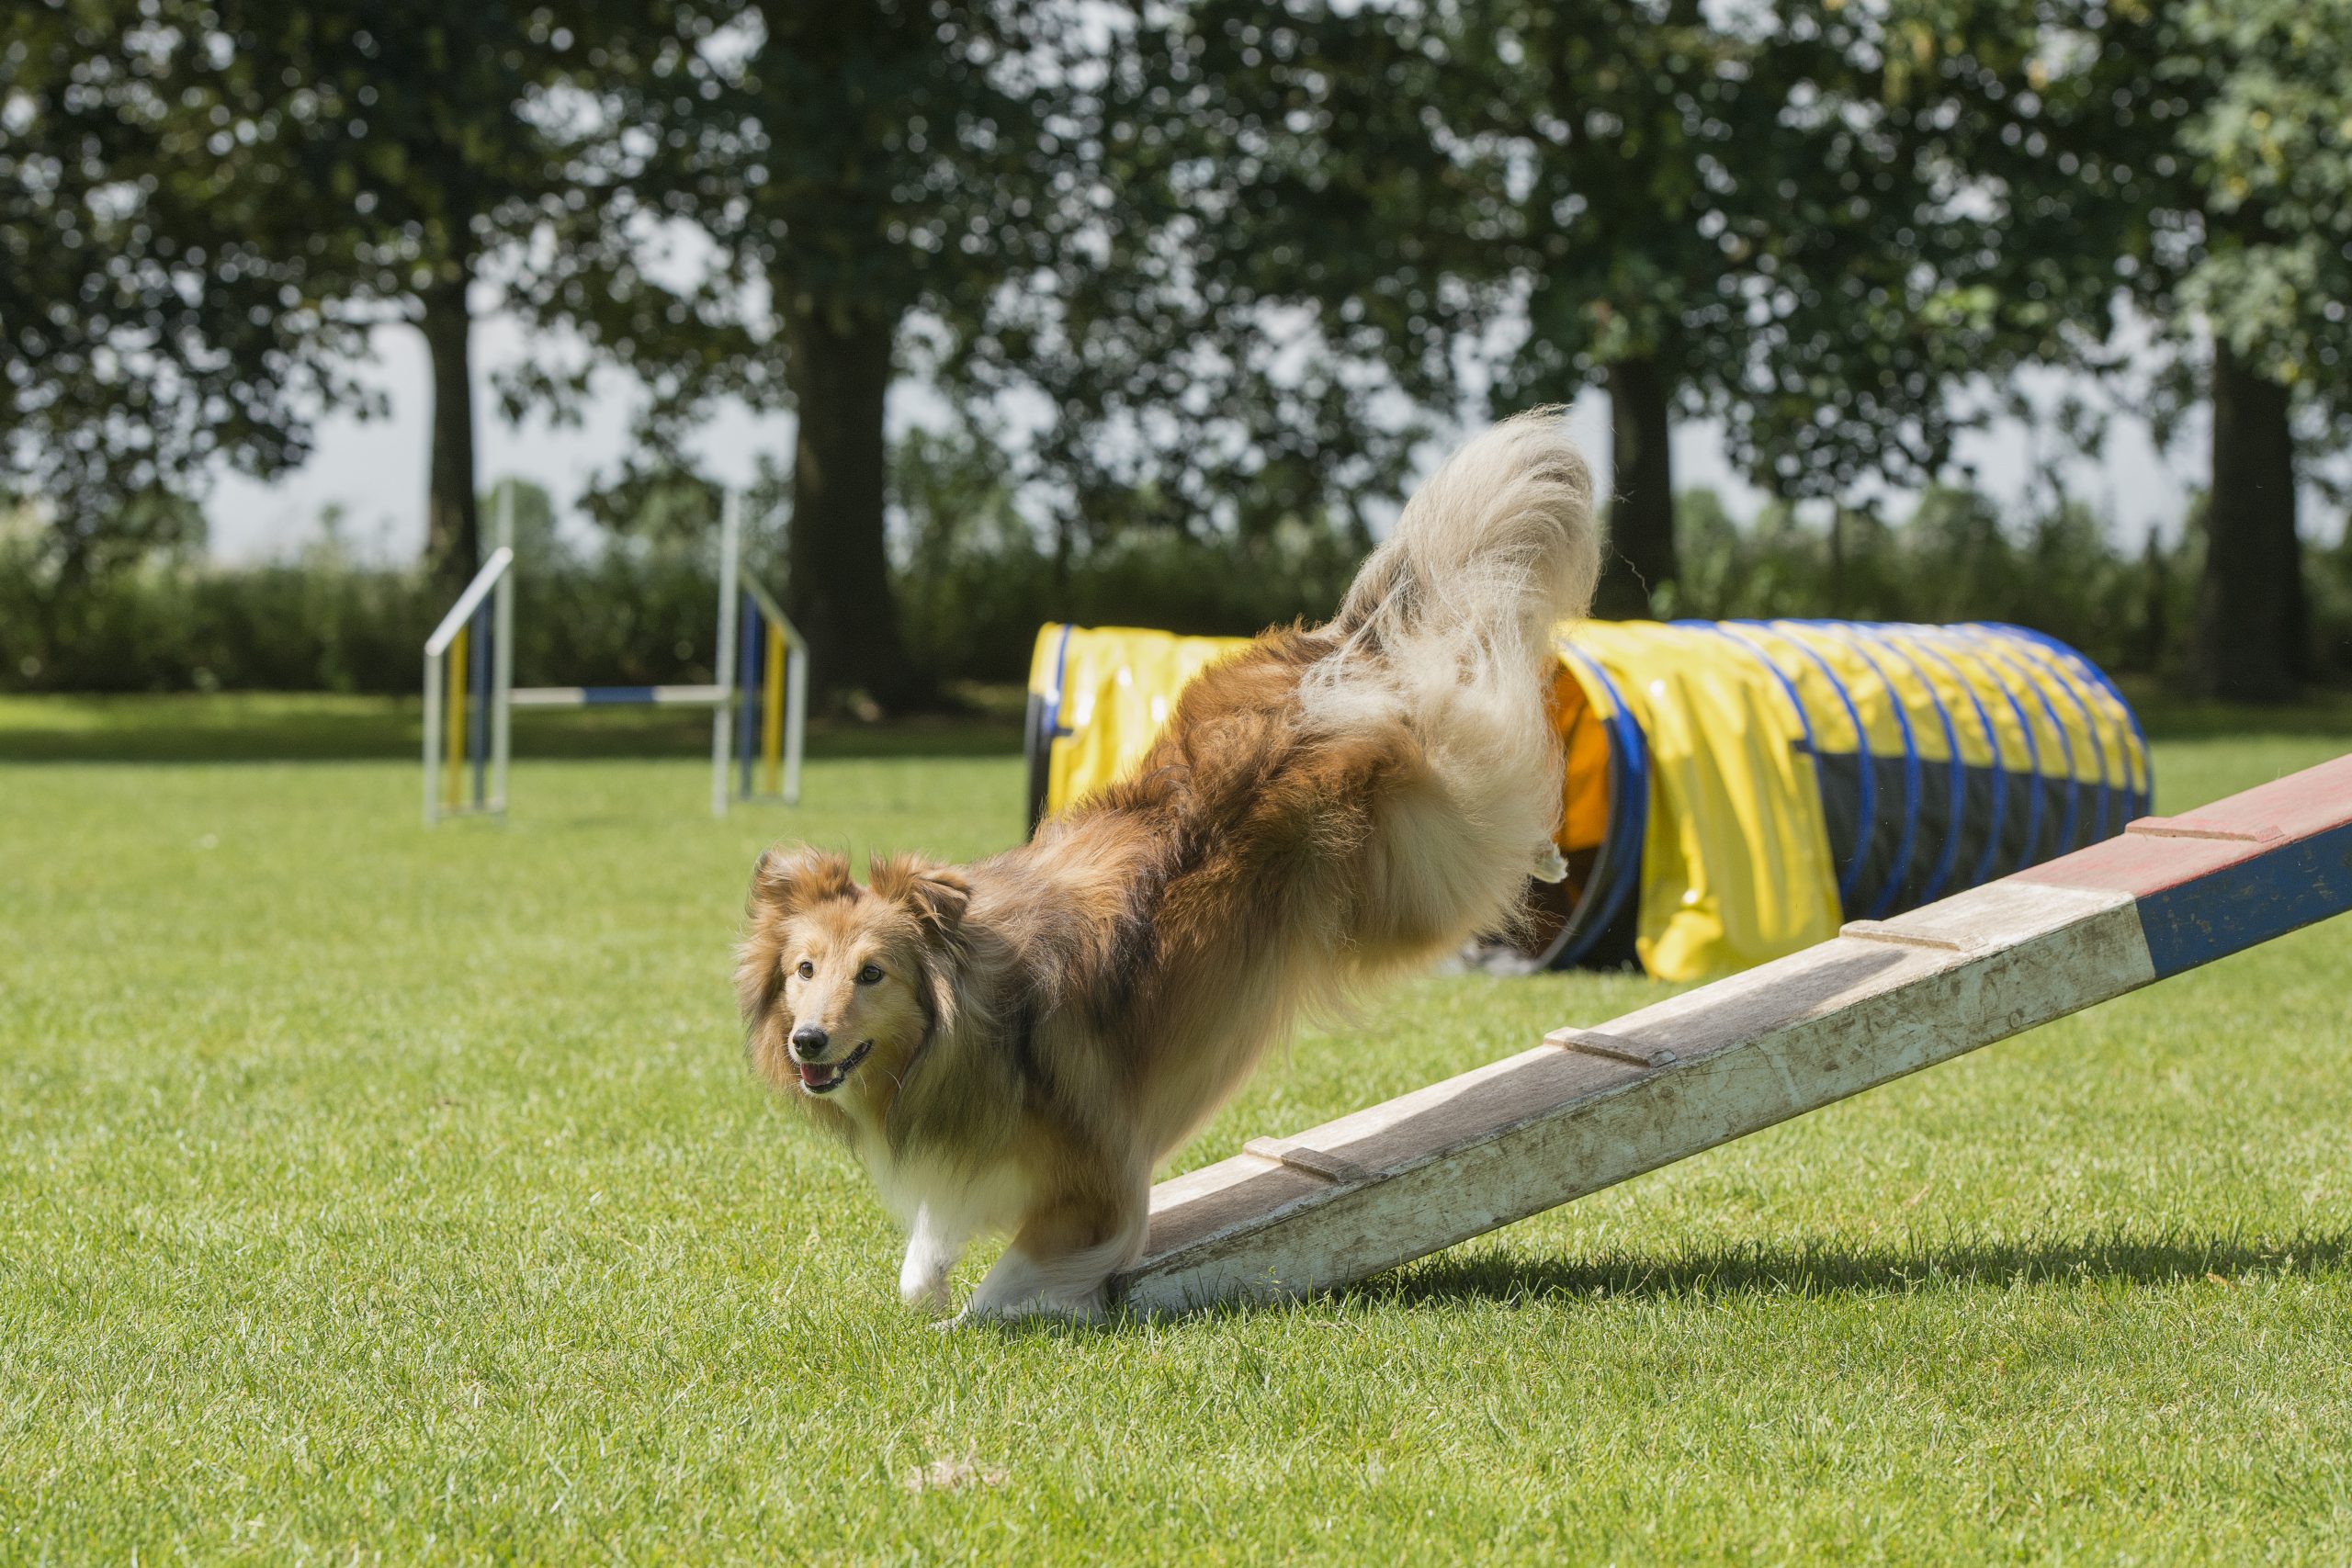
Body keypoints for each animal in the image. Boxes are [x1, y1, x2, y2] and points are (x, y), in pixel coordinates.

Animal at [738, 411, 1599, 1316]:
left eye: (872, 973)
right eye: (803, 969)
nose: (806, 1040)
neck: (967, 1032)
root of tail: (1329, 650)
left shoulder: (1095, 1188)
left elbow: (1007, 1285)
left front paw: (968, 1324)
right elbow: (923, 1257)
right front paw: (928, 1288)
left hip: (1407, 879)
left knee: (1488, 739)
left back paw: (1544, 850)